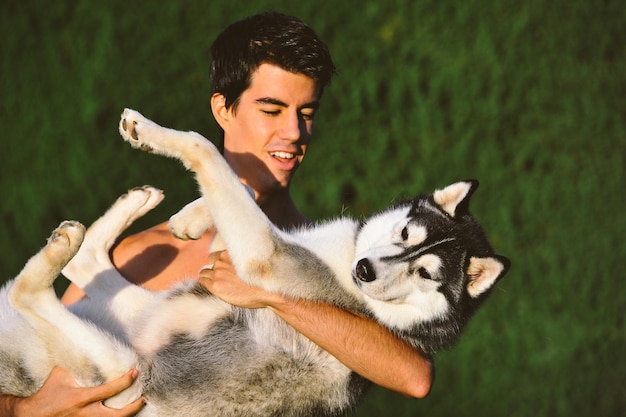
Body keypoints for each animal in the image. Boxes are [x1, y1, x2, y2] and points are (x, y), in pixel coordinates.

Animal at [0, 109, 508, 414]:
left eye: (425, 273)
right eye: (405, 234)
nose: (365, 271)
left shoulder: (264, 256)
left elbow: (205, 147)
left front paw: (156, 138)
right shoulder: (243, 243)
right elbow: (239, 182)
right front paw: (190, 218)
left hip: (122, 374)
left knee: (36, 289)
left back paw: (62, 248)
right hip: (141, 305)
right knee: (85, 261)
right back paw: (135, 203)